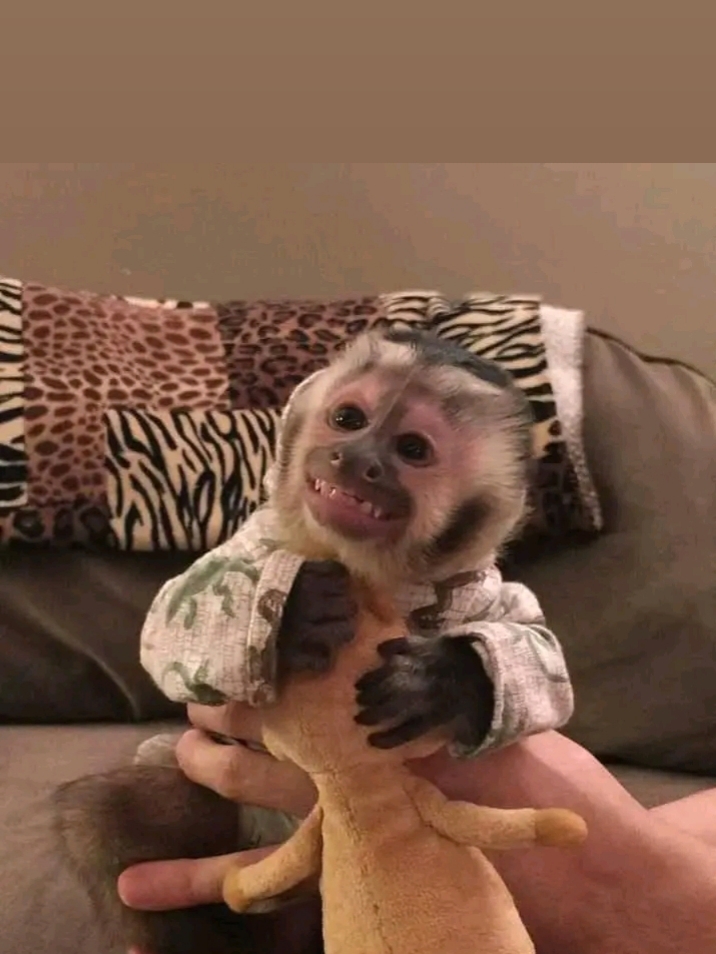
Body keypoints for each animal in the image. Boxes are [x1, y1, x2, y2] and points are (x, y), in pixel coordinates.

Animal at [52, 327, 574, 954]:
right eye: (349, 418)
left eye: (412, 449)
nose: (358, 459)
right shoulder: (257, 539)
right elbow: (167, 622)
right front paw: (295, 616)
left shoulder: (476, 585)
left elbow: (542, 659)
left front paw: (439, 681)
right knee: (98, 816)